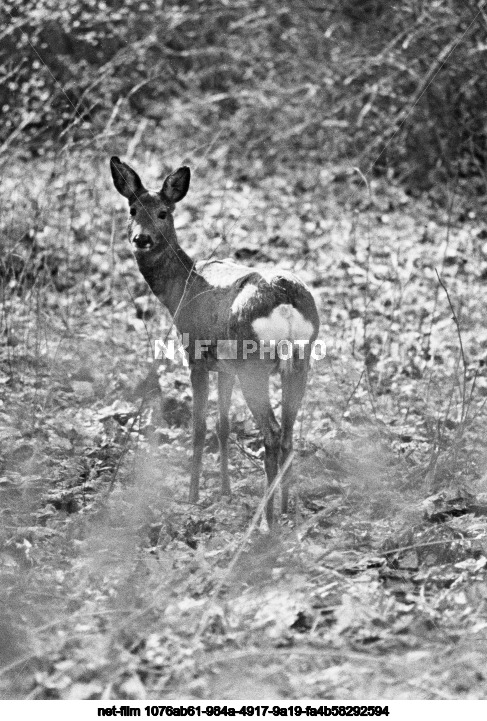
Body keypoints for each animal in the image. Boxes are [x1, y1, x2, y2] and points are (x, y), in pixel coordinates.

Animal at [110, 156, 320, 524]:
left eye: (164, 212)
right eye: (133, 209)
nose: (141, 239)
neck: (183, 287)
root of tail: (285, 299)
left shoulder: (196, 356)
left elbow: (199, 429)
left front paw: (192, 497)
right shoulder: (225, 367)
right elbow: (223, 426)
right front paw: (224, 492)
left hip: (254, 364)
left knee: (272, 434)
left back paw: (267, 521)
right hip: (298, 361)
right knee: (289, 434)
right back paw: (285, 510)